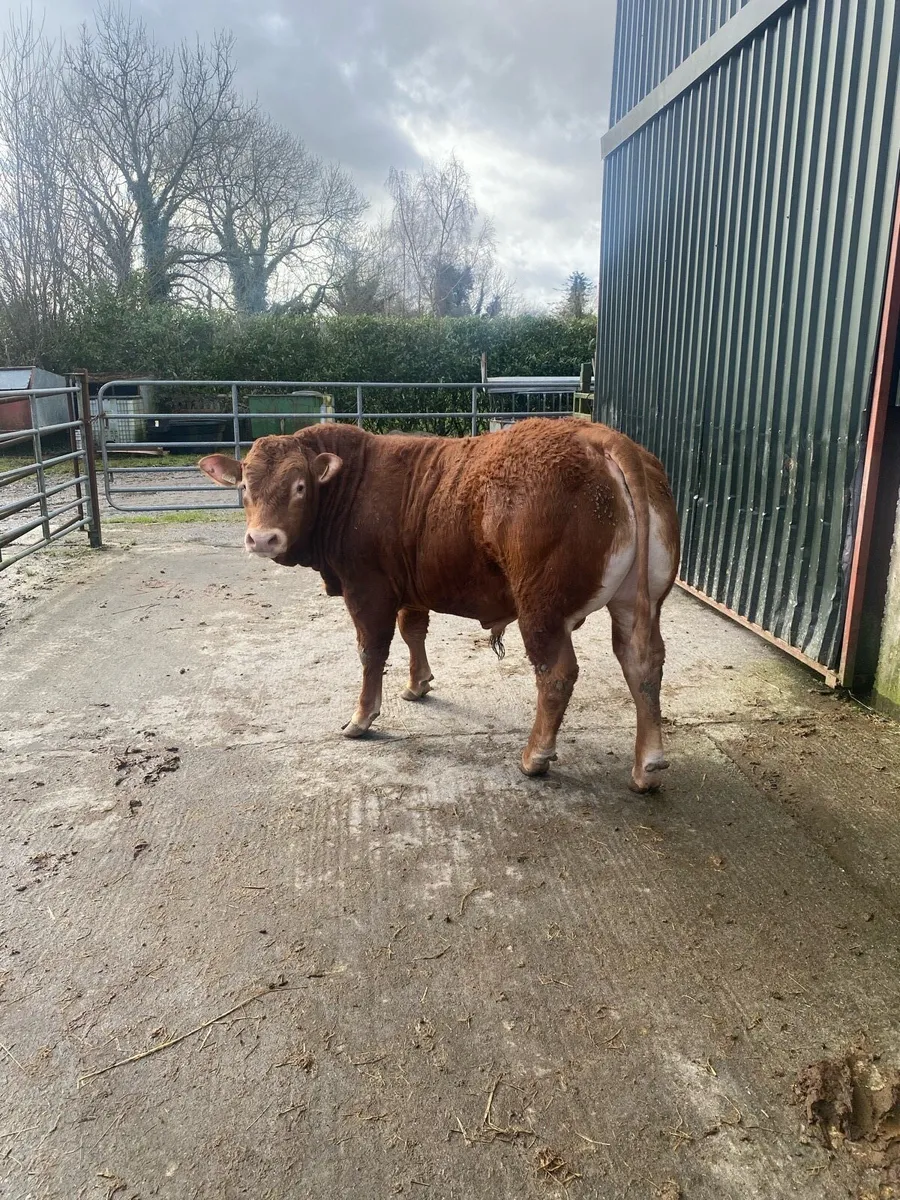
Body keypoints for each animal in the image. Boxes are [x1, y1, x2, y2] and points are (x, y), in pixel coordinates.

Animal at [198, 418, 680, 792]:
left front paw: (361, 717)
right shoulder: (409, 586)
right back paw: (647, 766)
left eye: (299, 486)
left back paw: (535, 756)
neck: (353, 483)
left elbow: (372, 651)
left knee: (556, 673)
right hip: (639, 602)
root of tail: (597, 435)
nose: (262, 539)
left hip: (541, 605)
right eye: (245, 487)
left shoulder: (367, 587)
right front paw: (418, 684)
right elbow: (413, 631)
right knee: (643, 663)